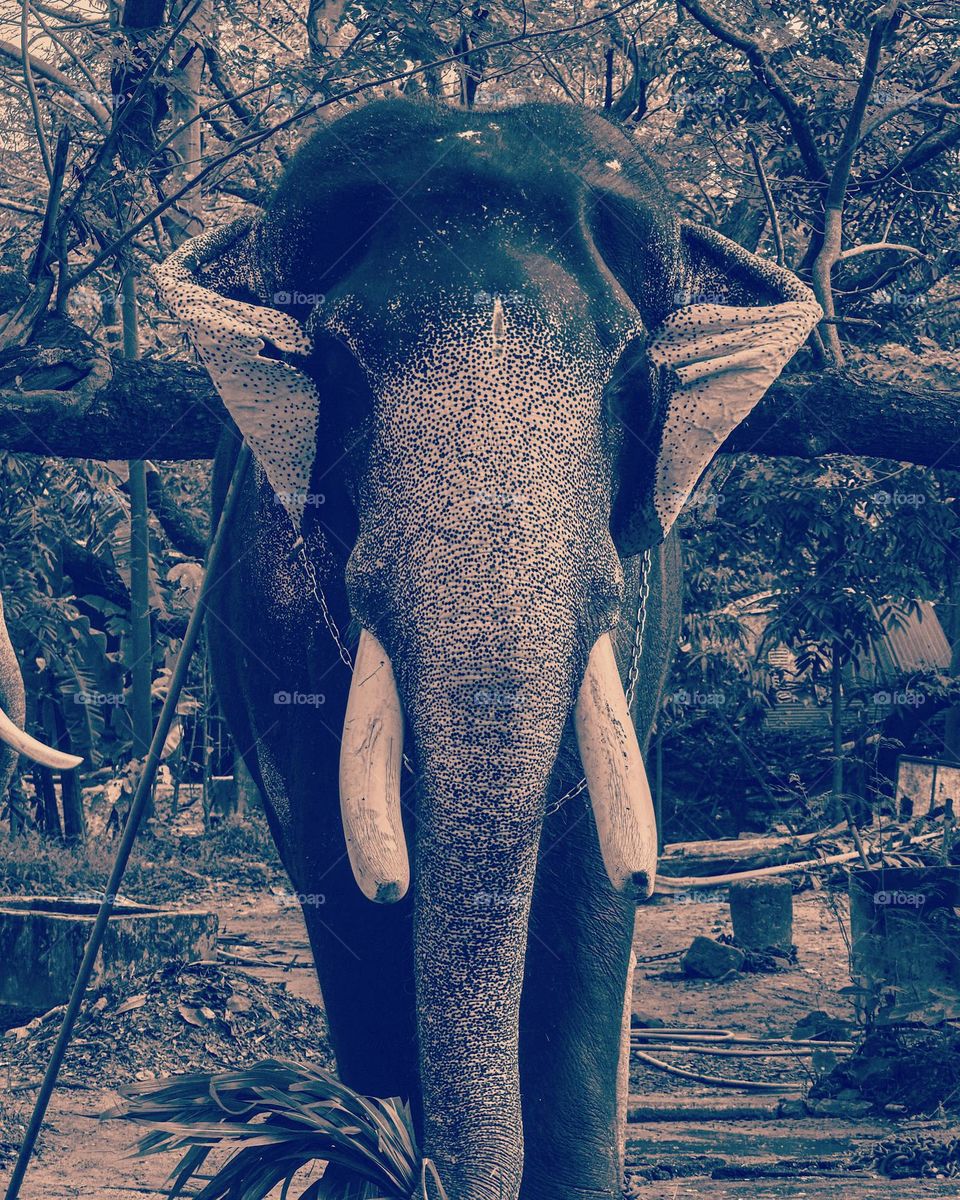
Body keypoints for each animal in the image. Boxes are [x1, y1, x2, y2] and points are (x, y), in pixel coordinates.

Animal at [155, 100, 820, 1200]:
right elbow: (340, 869)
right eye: (341, 367)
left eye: (629, 374)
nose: (425, 1174)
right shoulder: (269, 613)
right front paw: (367, 1138)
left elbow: (597, 872)